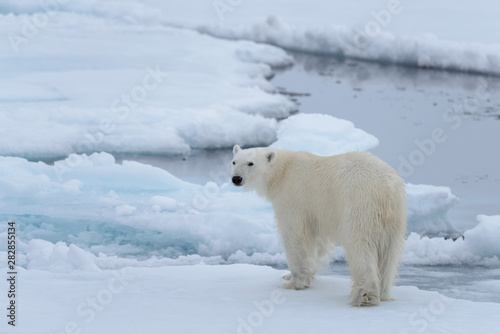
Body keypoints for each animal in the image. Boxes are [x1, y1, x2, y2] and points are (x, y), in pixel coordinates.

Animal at [232, 145, 408, 306]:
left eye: (250, 163)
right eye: (234, 161)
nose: (236, 178)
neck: (282, 171)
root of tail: (386, 189)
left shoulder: (293, 198)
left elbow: (294, 236)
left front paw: (293, 282)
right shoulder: (316, 213)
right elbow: (317, 242)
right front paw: (294, 275)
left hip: (358, 205)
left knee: (360, 245)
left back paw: (364, 296)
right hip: (395, 217)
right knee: (389, 254)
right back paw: (384, 293)